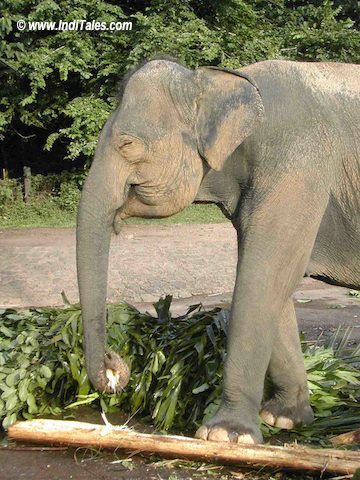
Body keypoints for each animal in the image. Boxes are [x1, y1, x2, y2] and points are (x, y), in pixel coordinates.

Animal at [76, 58, 360, 444]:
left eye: (127, 144)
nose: (114, 366)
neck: (220, 82)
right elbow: (273, 280)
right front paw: (284, 419)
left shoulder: (300, 162)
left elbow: (262, 276)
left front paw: (225, 435)